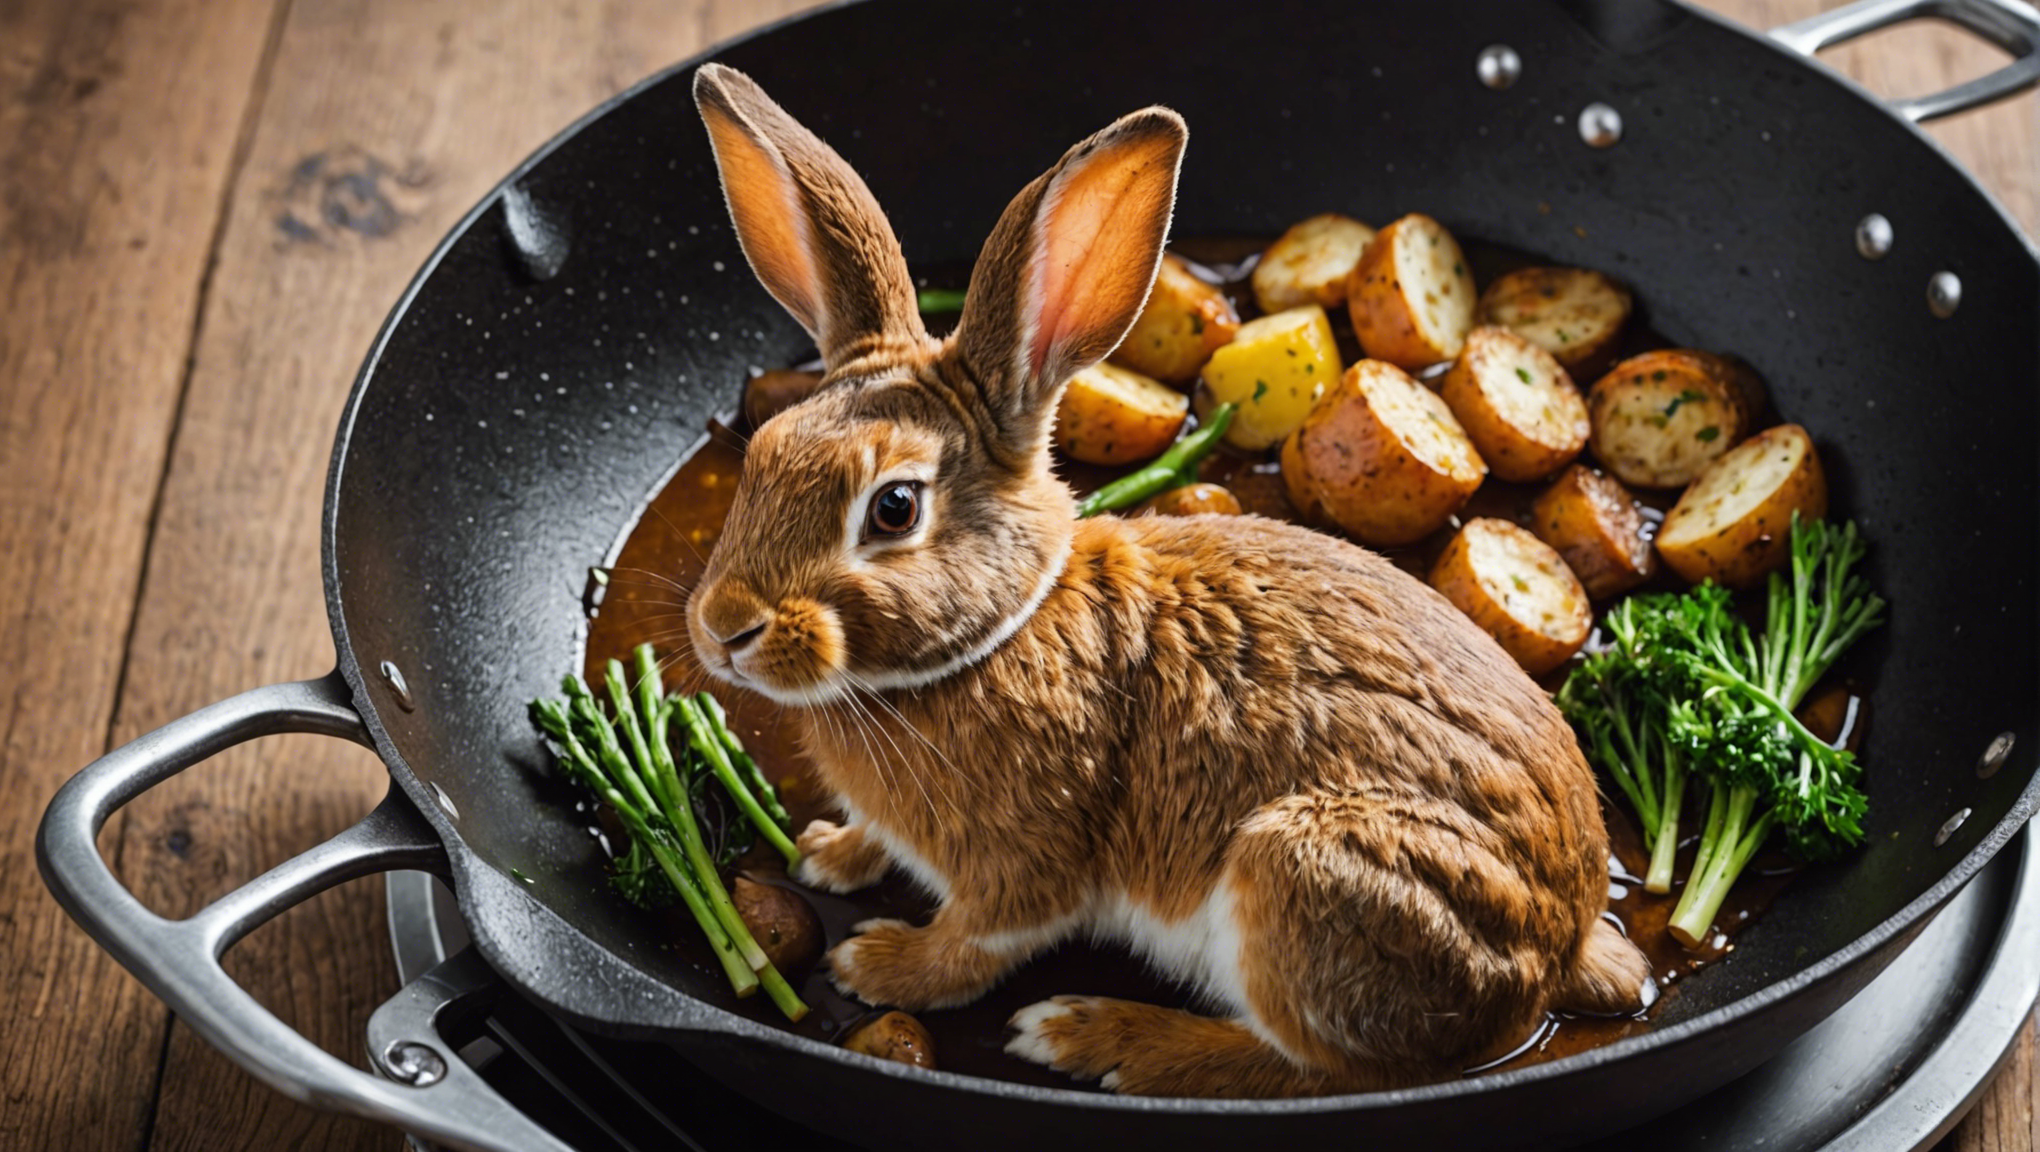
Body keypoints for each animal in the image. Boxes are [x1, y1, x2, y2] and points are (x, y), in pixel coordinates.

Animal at [685, 62, 1653, 1098]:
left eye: (895, 508)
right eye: (763, 456)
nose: (726, 629)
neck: (998, 631)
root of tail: (1555, 948)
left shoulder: (1023, 860)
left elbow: (978, 946)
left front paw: (882, 963)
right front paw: (833, 855)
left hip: (1309, 880)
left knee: (1310, 1073)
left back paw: (1093, 1034)